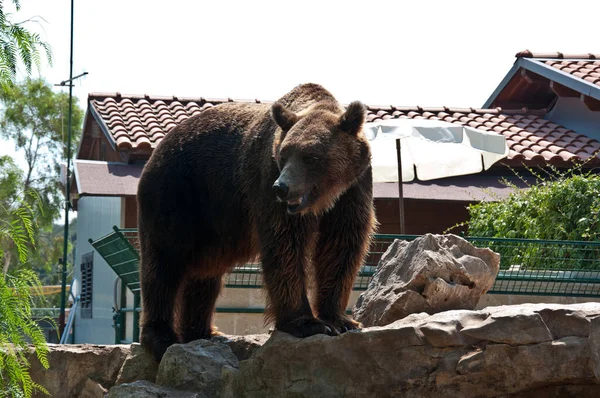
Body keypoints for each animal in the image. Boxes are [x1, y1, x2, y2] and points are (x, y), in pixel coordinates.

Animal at [138, 83, 378, 360]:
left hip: (210, 227)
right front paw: (307, 323)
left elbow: (341, 247)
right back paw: (162, 337)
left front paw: (340, 320)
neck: (326, 196)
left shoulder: (353, 191)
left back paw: (204, 332)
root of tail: (157, 150)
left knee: (204, 275)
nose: (282, 187)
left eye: (310, 156)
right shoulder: (266, 184)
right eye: (284, 155)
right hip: (176, 195)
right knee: (163, 265)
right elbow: (284, 246)